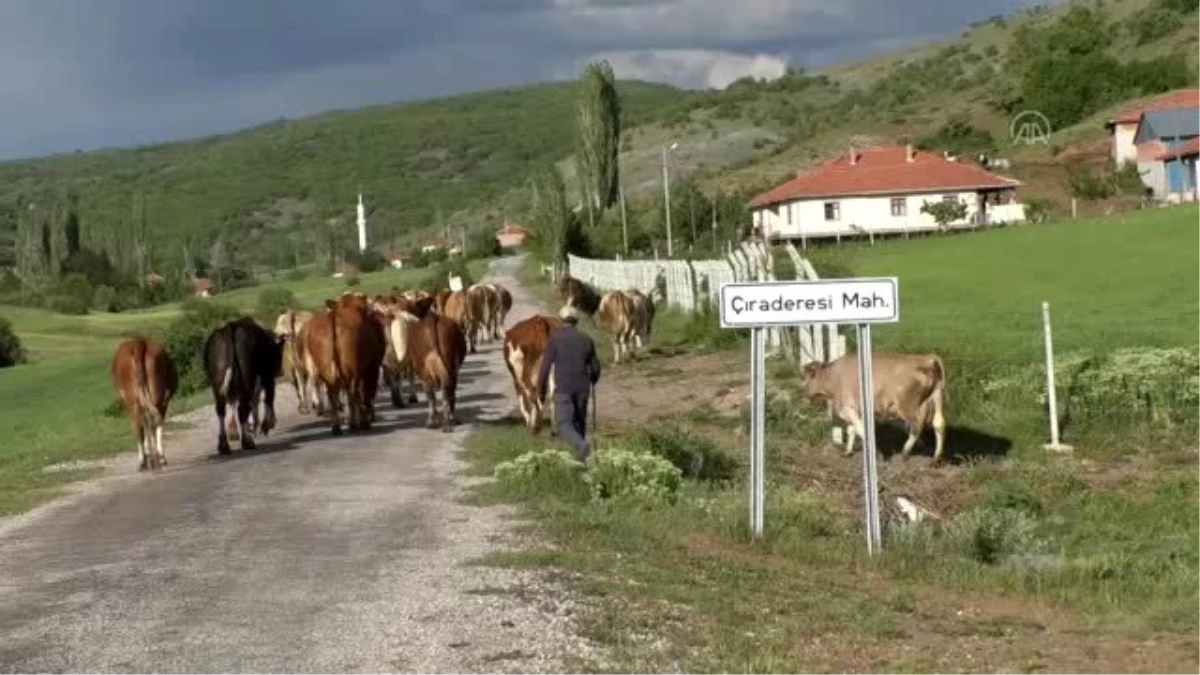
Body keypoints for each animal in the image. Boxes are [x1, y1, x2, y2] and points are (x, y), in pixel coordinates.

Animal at [109, 333, 177, 468]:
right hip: (154, 395)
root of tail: (139, 343)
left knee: (141, 425)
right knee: (153, 421)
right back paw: (156, 459)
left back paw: (146, 461)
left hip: (133, 400)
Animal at [204, 314, 285, 451]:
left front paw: (238, 430)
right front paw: (266, 424)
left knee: (221, 410)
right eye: (278, 353)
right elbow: (268, 398)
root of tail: (230, 327)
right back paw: (247, 441)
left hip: (218, 382)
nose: (280, 371)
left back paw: (224, 444)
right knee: (243, 409)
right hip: (247, 379)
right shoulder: (267, 376)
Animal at [796, 353, 945, 461]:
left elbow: (860, 430)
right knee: (939, 424)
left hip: (907, 406)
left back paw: (905, 452)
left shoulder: (848, 408)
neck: (834, 376)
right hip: (936, 396)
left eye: (808, 377)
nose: (803, 390)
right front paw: (848, 451)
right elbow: (852, 430)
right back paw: (936, 458)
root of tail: (928, 359)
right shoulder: (855, 409)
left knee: (916, 426)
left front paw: (877, 453)